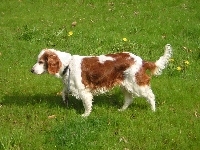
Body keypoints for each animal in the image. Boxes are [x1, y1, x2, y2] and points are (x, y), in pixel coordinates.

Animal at [31, 44, 172, 117]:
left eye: (41, 62)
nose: (31, 70)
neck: (68, 64)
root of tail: (141, 60)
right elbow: (64, 93)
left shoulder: (84, 91)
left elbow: (87, 105)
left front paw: (85, 116)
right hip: (125, 85)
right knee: (129, 99)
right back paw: (122, 110)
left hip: (136, 84)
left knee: (150, 96)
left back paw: (153, 110)